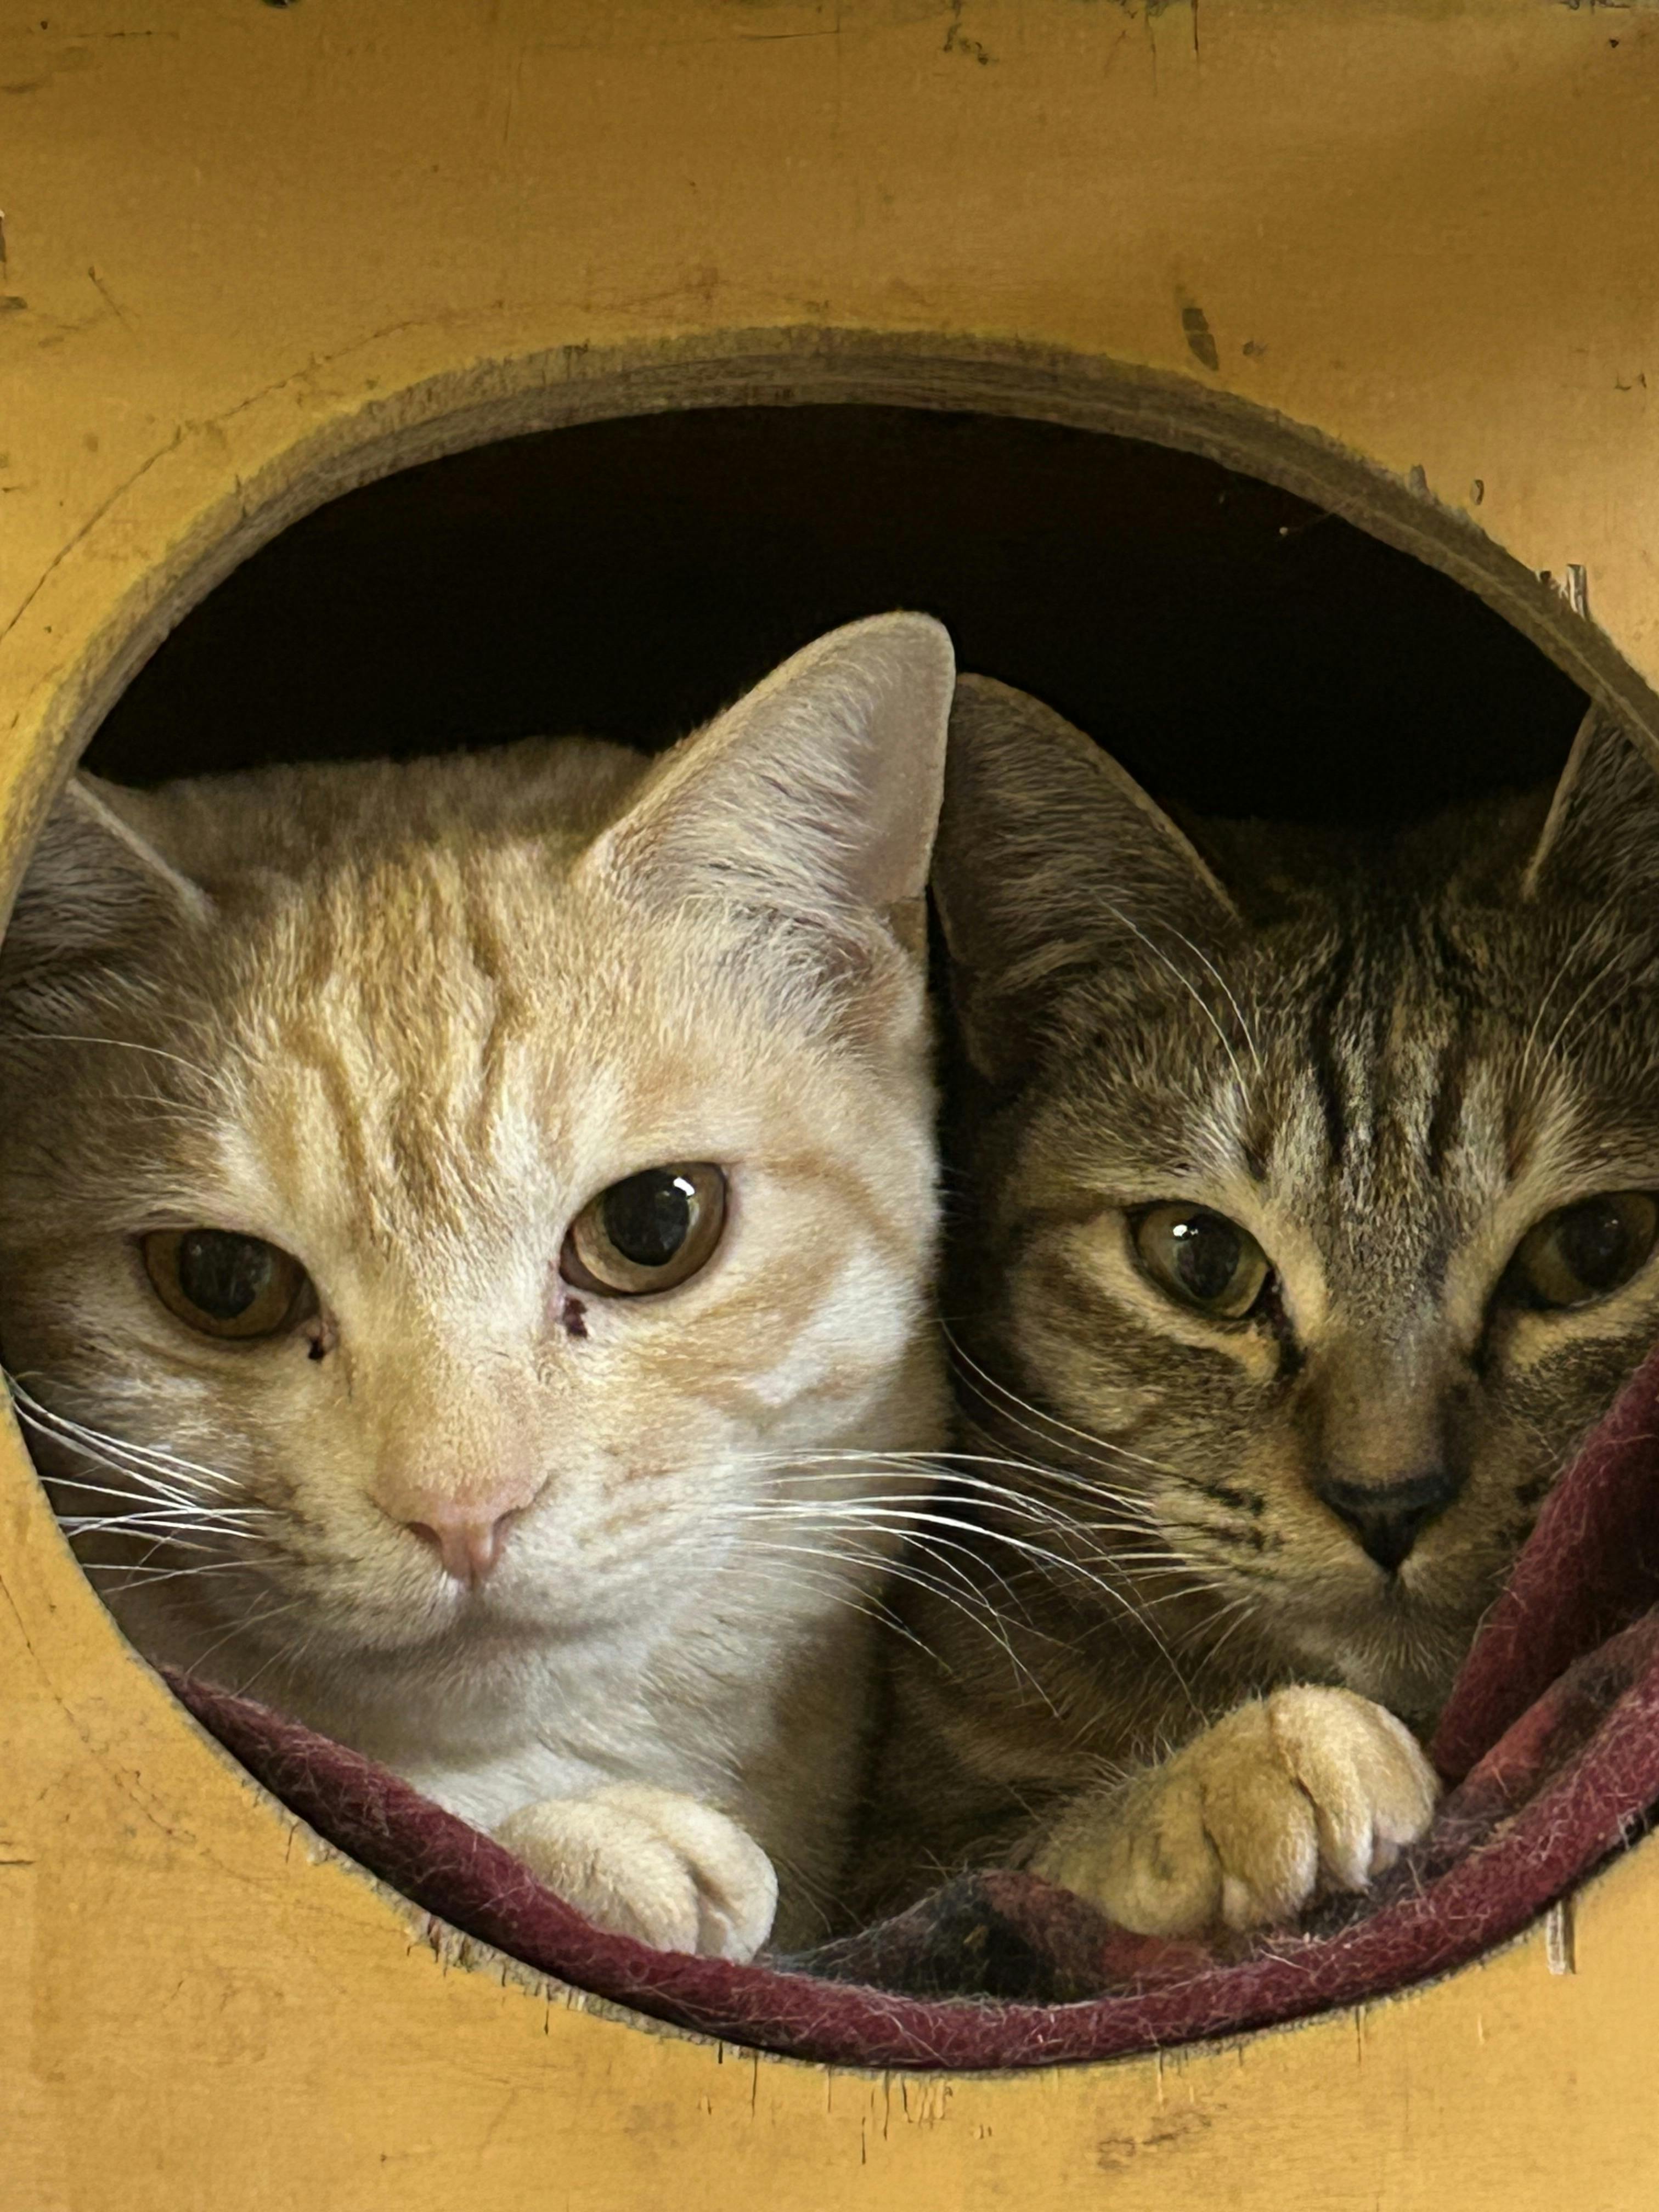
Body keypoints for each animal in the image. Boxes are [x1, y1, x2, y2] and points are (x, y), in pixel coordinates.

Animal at [858, 675, 1659, 1941]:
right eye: (1198, 1260)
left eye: (1594, 1249)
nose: (1388, 1501)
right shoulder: (886, 1873)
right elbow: (1004, 1864)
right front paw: (1236, 1771)